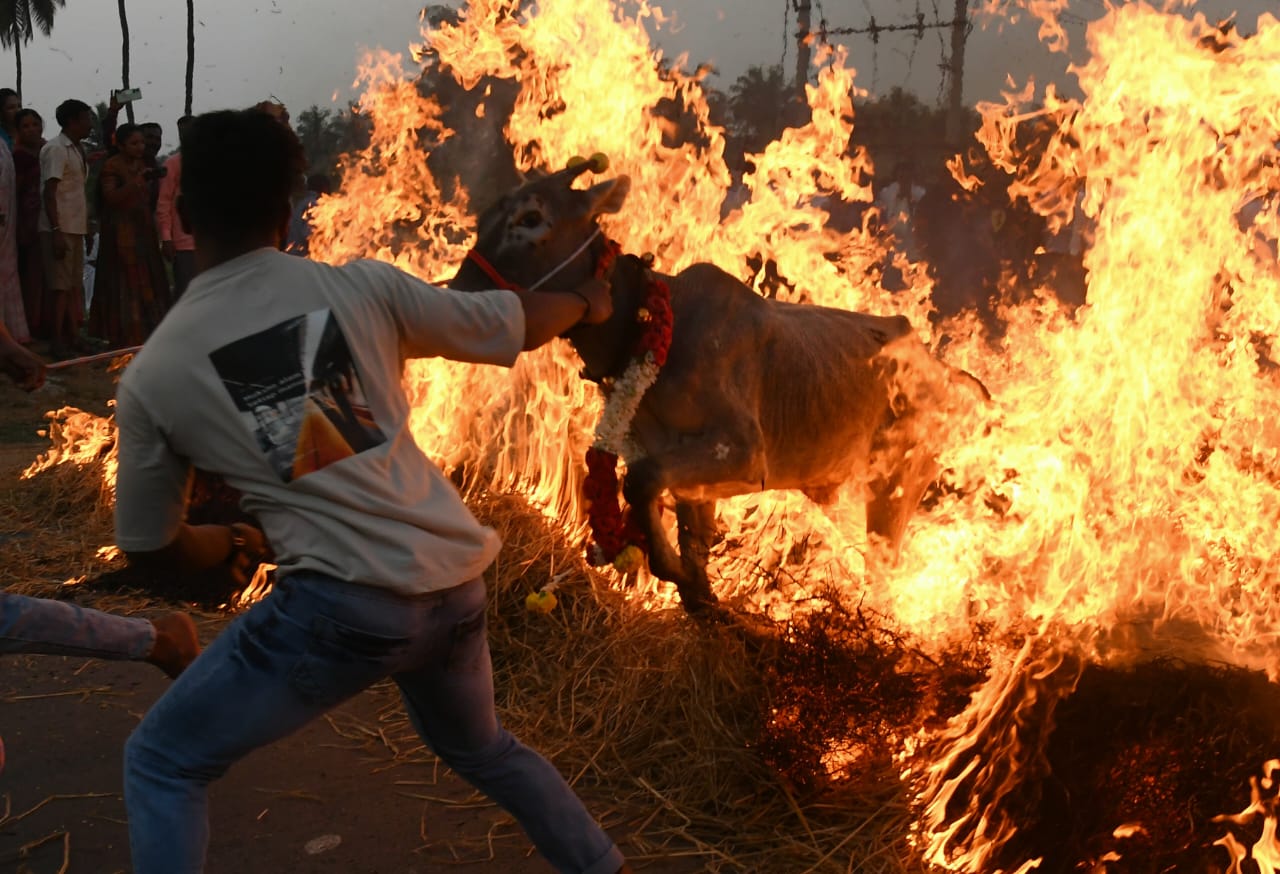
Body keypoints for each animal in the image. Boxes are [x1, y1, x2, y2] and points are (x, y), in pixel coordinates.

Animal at [455, 166, 983, 614]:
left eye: (531, 217)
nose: (460, 288)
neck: (653, 325)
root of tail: (942, 369)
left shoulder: (744, 452)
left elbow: (641, 481)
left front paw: (673, 571)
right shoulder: (683, 464)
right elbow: (691, 533)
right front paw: (698, 591)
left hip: (896, 483)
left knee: (884, 568)